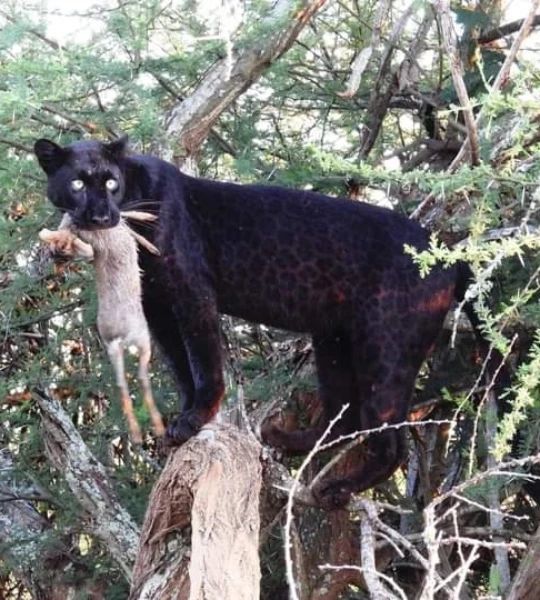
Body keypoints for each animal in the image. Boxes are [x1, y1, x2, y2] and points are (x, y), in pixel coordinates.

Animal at [39, 214, 163, 440]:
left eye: (63, 256)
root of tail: (120, 336)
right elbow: (128, 225)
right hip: (143, 339)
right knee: (139, 377)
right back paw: (152, 429)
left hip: (120, 348)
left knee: (124, 383)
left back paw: (141, 432)